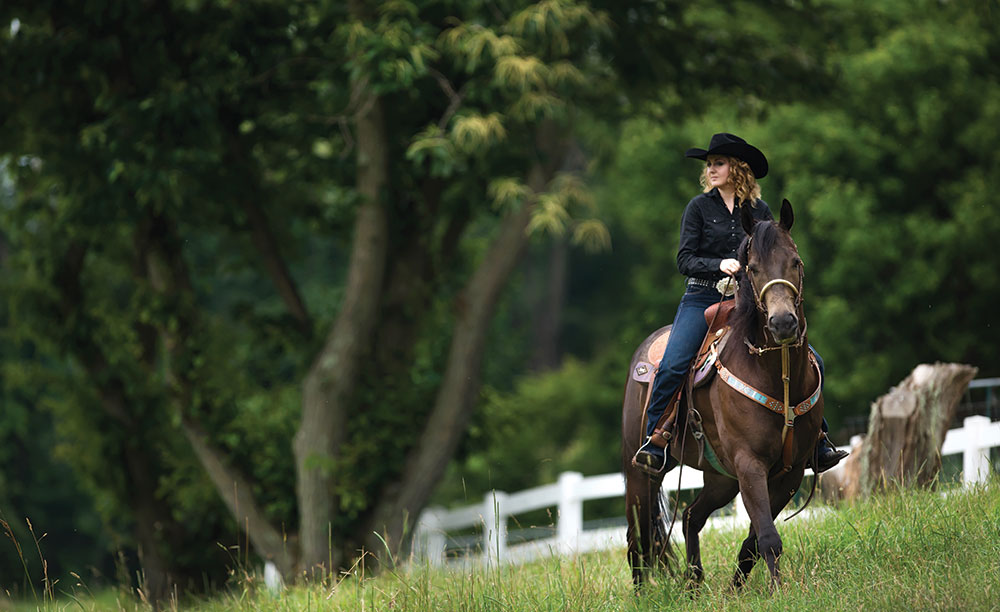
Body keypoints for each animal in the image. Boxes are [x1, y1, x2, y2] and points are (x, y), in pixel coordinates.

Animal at [620, 198, 824, 592]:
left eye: (796, 261)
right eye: (753, 269)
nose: (783, 323)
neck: (777, 375)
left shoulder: (789, 472)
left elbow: (755, 541)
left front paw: (736, 589)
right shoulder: (749, 465)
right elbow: (768, 536)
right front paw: (777, 592)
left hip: (720, 479)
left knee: (689, 516)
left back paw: (694, 583)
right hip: (641, 473)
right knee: (638, 538)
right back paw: (644, 595)